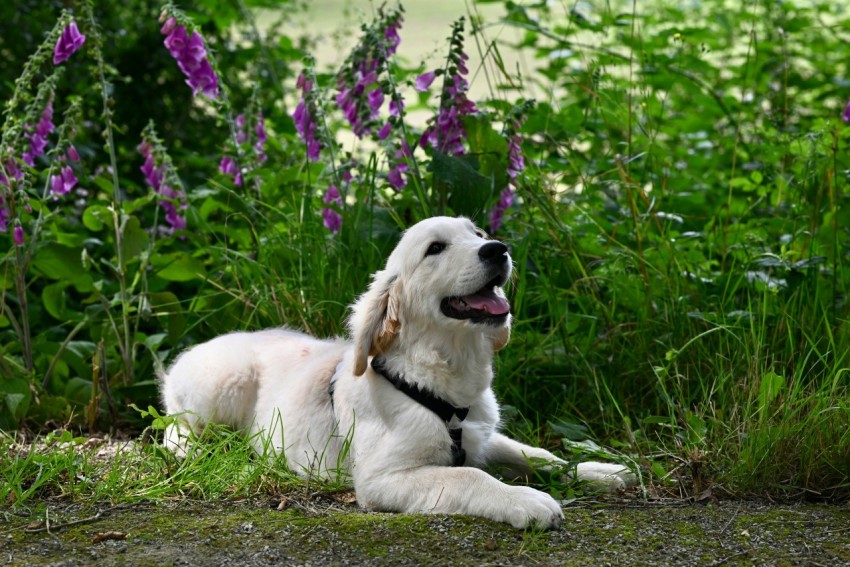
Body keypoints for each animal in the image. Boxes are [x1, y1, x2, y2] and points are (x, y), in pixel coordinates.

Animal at [162, 216, 632, 528]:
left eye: (477, 235)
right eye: (435, 249)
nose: (498, 248)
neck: (445, 384)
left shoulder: (479, 434)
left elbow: (534, 454)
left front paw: (597, 471)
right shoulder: (381, 479)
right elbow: (470, 475)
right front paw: (525, 500)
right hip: (221, 388)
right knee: (173, 429)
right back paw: (196, 451)